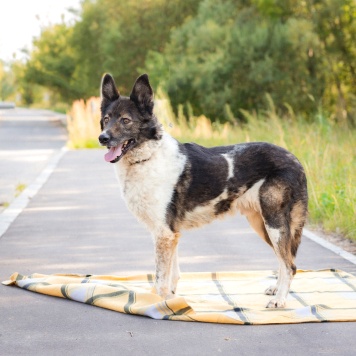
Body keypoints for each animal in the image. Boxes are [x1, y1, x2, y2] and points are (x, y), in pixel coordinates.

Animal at [98, 73, 308, 308]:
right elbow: (172, 273)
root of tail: (294, 159)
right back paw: (276, 289)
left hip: (274, 223)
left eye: (125, 120)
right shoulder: (169, 233)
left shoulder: (164, 233)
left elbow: (161, 278)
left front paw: (157, 302)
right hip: (262, 223)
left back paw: (280, 299)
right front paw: (170, 299)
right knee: (284, 259)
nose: (102, 138)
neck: (147, 157)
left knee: (290, 264)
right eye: (106, 119)